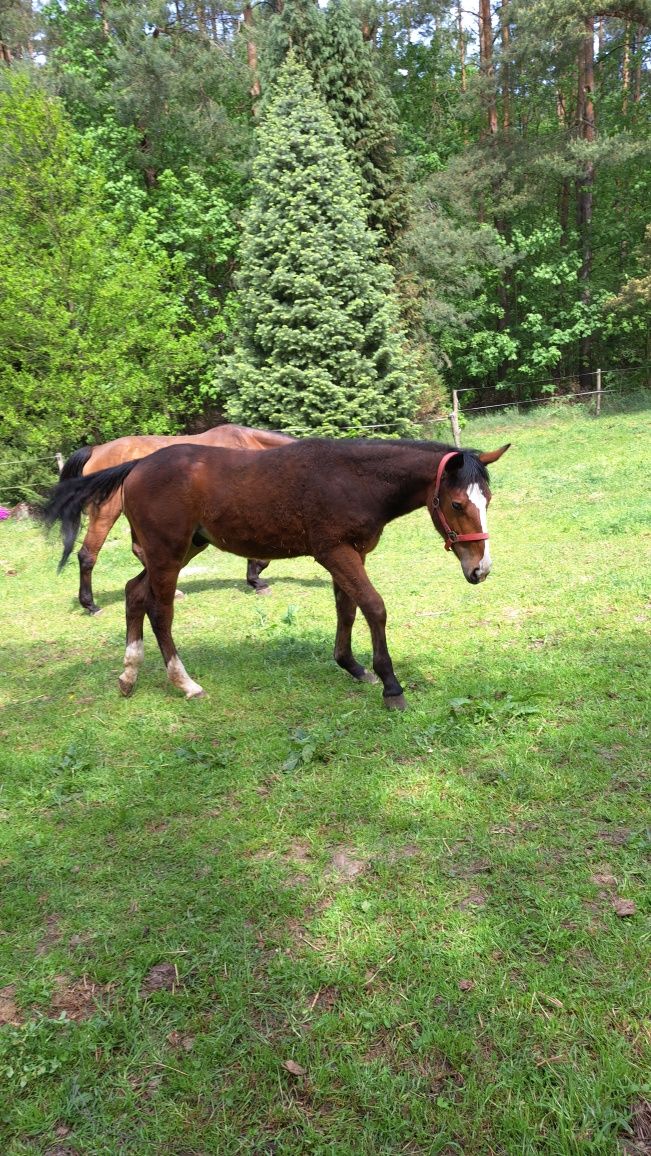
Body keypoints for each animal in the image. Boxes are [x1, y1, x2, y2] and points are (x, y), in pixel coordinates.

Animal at [59, 420, 293, 610]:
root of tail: (96, 450)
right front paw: (256, 580)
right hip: (106, 513)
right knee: (88, 555)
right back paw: (90, 605)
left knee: (140, 552)